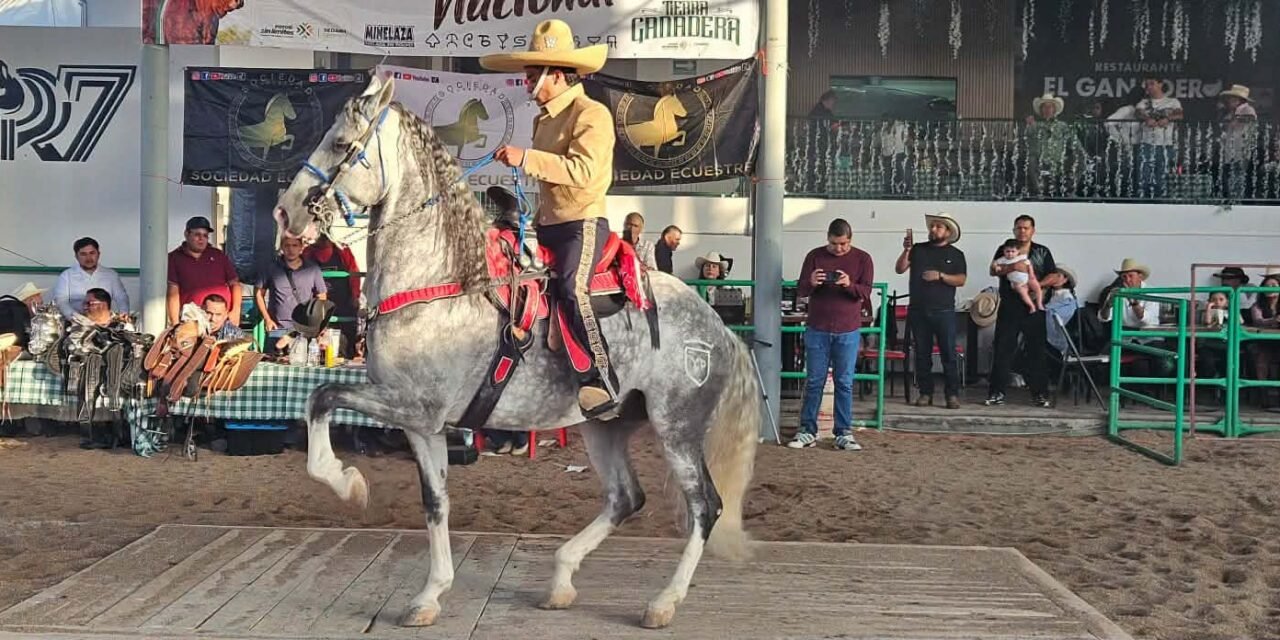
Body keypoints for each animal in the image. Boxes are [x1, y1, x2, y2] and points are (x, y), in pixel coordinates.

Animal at [272, 75, 760, 630]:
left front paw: (347, 483)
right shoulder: (423, 423)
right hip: (606, 425)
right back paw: (562, 579)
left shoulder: (412, 405)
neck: (439, 282)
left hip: (677, 427)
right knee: (625, 497)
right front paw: (430, 595)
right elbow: (435, 501)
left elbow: (322, 397)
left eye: (339, 143)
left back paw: (663, 602)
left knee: (704, 507)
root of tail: (720, 328)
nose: (284, 210)